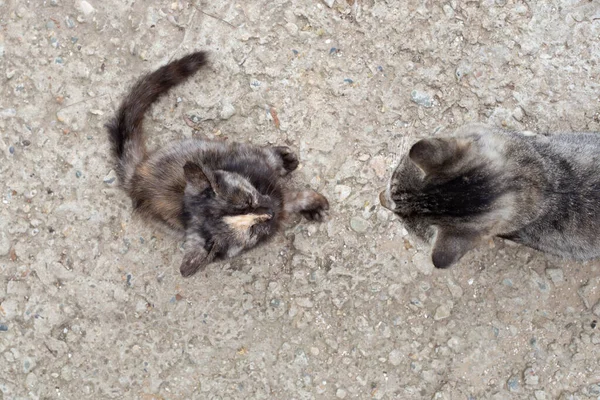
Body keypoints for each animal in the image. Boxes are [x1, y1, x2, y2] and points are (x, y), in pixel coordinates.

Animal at [108, 52, 332, 278]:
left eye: (249, 199)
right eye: (252, 230)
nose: (270, 212)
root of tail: (135, 176)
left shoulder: (250, 156)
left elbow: (270, 158)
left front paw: (286, 161)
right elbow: (293, 199)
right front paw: (313, 204)